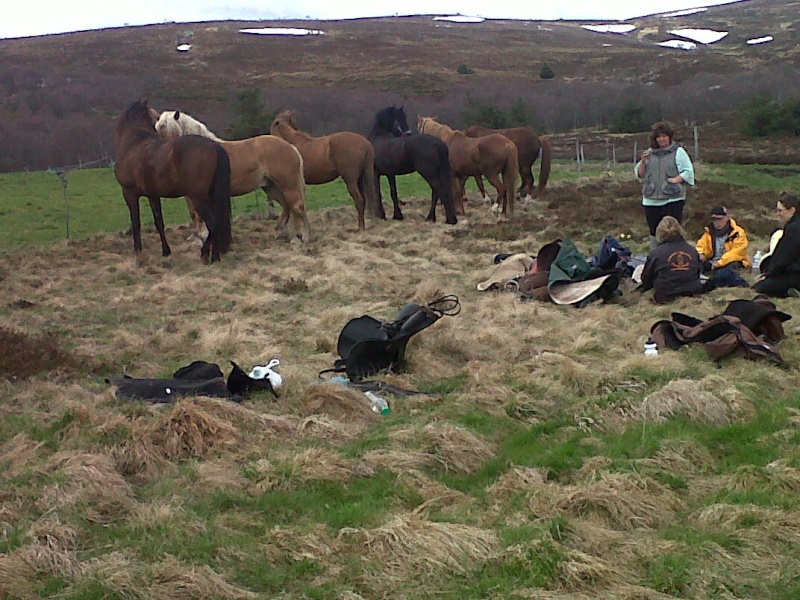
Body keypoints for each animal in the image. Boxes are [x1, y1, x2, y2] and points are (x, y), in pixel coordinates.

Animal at [112, 99, 233, 262]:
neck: (133, 143)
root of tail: (213, 145)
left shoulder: (129, 193)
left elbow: (136, 222)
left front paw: (138, 250)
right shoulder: (153, 195)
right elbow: (159, 222)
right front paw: (166, 251)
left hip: (198, 198)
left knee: (212, 224)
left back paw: (205, 254)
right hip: (211, 196)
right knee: (217, 223)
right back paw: (214, 256)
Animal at [155, 111, 310, 243]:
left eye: (172, 131)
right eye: (158, 129)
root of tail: (290, 147)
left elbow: (199, 214)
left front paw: (202, 236)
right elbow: (194, 213)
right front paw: (196, 236)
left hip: (287, 185)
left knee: (297, 206)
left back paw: (299, 237)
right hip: (271, 186)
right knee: (287, 205)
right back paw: (280, 232)